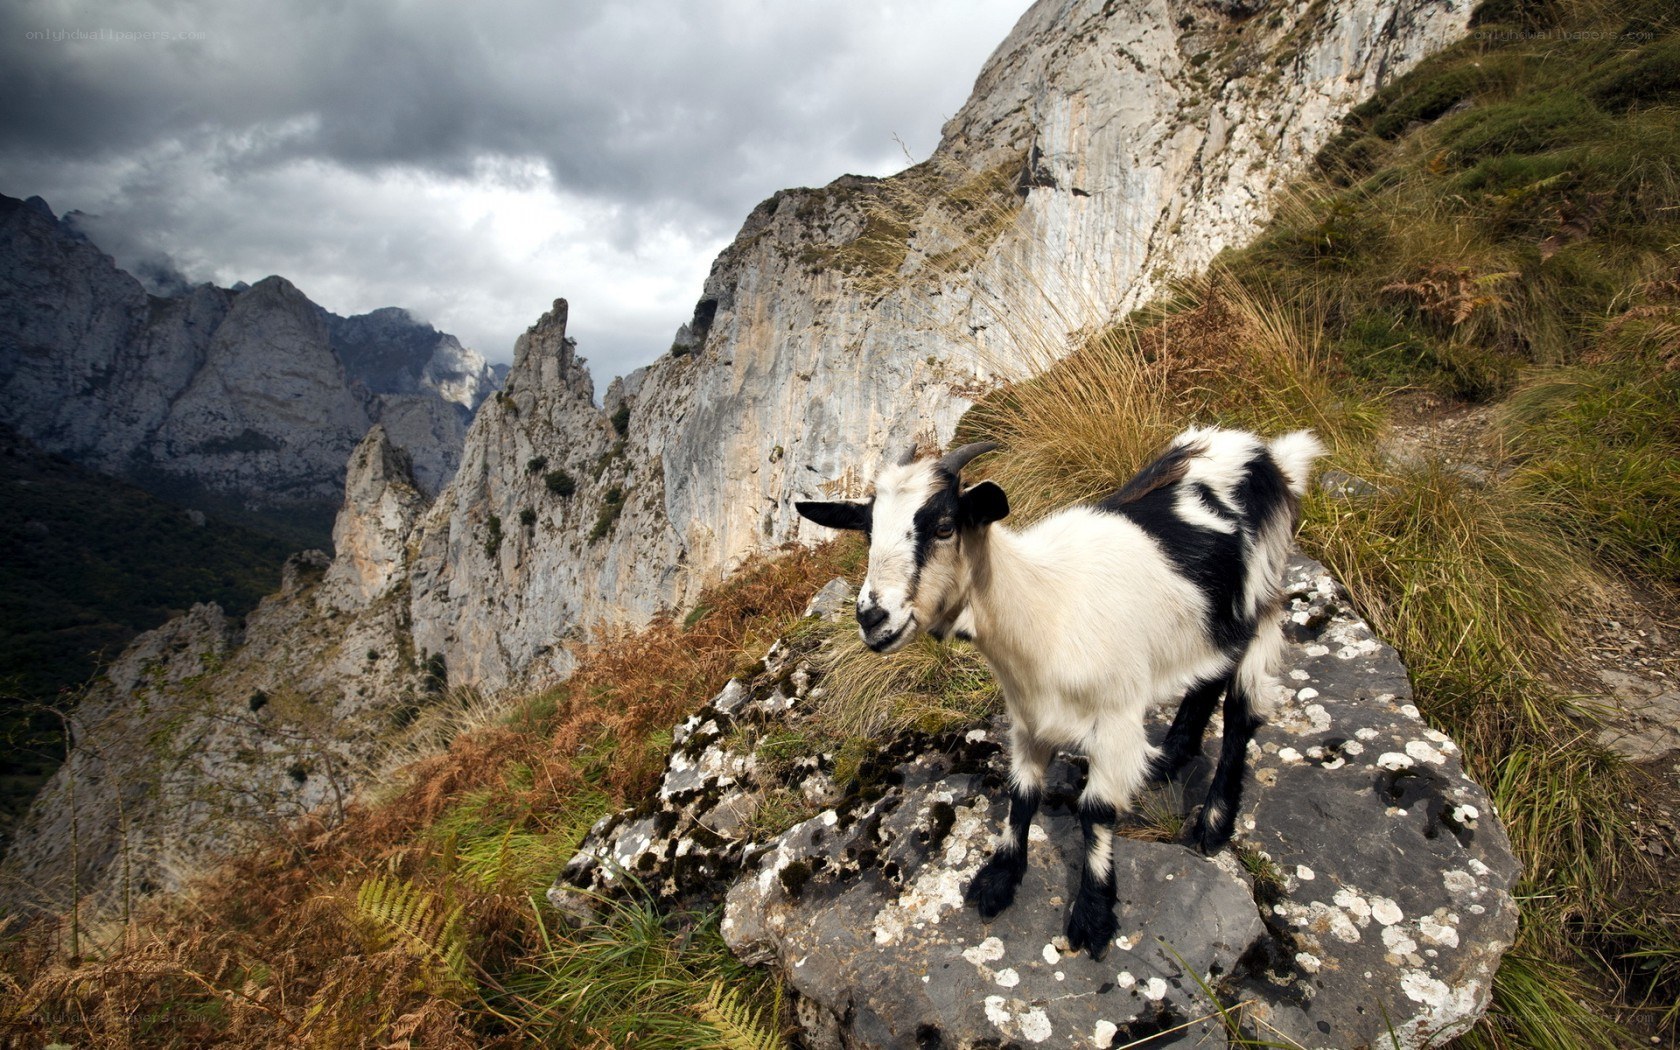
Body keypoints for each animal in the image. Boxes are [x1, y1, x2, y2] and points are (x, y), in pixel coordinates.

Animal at [796, 427, 1324, 958]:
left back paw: (1213, 823)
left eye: (945, 526)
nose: (871, 617)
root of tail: (1264, 452)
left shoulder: (1115, 718)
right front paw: (999, 879)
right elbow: (1022, 792)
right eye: (867, 531)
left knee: (1241, 709)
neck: (1044, 606)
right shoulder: (1028, 717)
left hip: (1263, 597)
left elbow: (1096, 811)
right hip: (1211, 621)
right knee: (1209, 677)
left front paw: (1093, 913)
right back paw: (1169, 758)